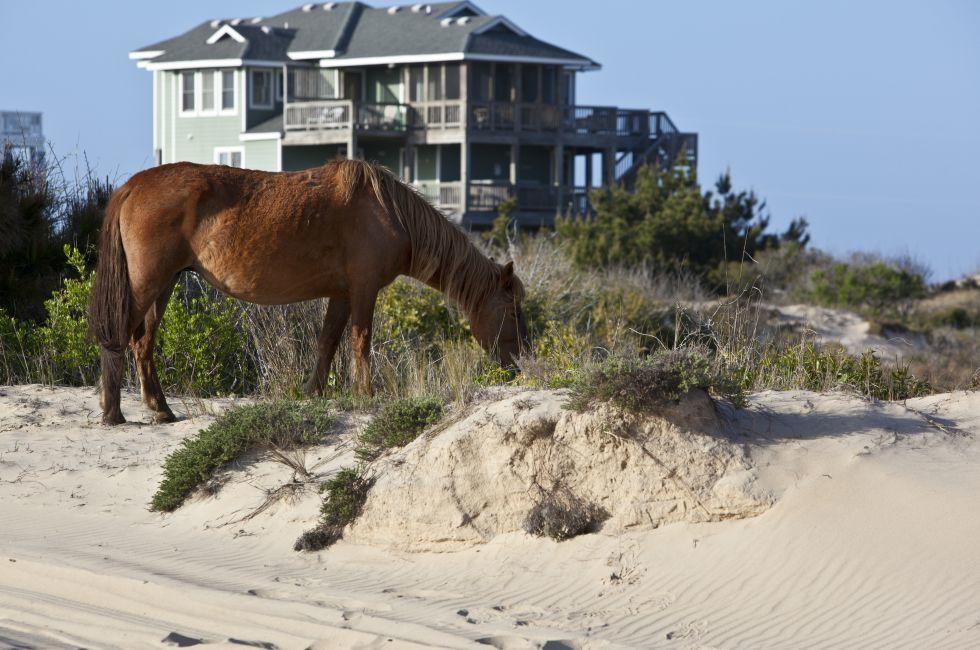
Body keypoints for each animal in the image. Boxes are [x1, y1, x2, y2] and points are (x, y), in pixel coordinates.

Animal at [88, 159, 531, 425]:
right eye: (513, 310)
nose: (521, 361)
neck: (389, 212)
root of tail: (133, 186)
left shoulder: (342, 293)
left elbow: (327, 342)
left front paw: (313, 393)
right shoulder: (364, 289)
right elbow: (360, 341)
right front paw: (365, 393)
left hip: (164, 285)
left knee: (141, 342)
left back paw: (160, 408)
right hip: (147, 284)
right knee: (121, 337)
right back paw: (114, 411)